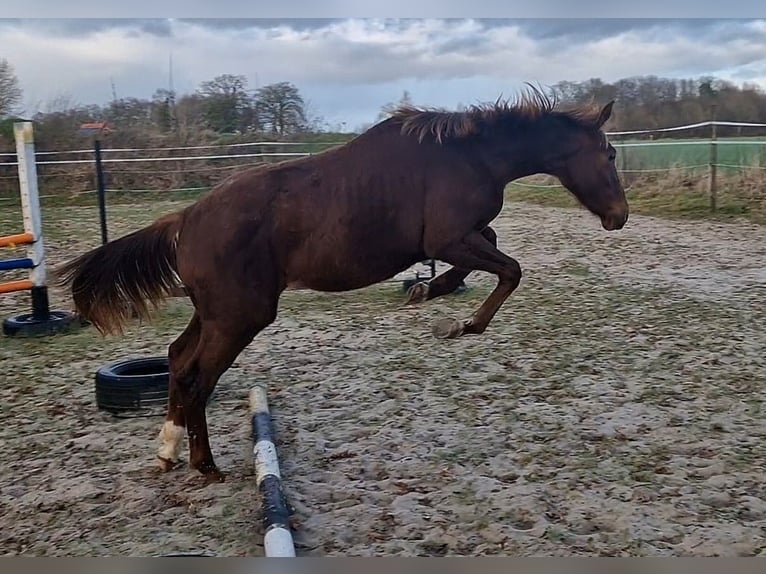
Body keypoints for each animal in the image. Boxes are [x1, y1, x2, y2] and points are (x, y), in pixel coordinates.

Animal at [55, 85, 632, 484]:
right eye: (609, 156)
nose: (619, 217)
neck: (469, 155)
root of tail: (184, 221)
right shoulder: (449, 238)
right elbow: (510, 269)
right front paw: (460, 323)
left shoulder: (458, 239)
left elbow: (488, 257)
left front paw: (430, 292)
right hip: (241, 317)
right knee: (198, 378)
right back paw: (205, 466)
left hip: (216, 313)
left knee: (177, 360)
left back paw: (167, 450)